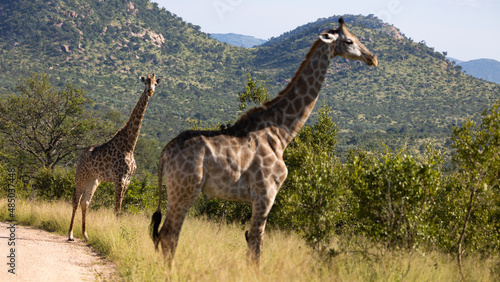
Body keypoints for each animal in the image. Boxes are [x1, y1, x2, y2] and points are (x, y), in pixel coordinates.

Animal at [68, 74, 161, 241]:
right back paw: (70, 234)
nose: (150, 91)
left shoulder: (127, 179)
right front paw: (119, 233)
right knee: (76, 200)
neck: (130, 145)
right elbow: (116, 208)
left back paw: (85, 234)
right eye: (145, 82)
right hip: (81, 176)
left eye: (155, 83)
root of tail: (80, 156)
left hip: (94, 179)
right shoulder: (119, 177)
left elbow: (120, 208)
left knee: (86, 201)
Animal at [150, 18, 376, 266]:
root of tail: (164, 153)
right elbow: (256, 247)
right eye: (349, 41)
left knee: (164, 235)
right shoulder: (266, 193)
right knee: (169, 235)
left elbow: (252, 243)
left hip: (177, 191)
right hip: (185, 190)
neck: (281, 133)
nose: (372, 58)